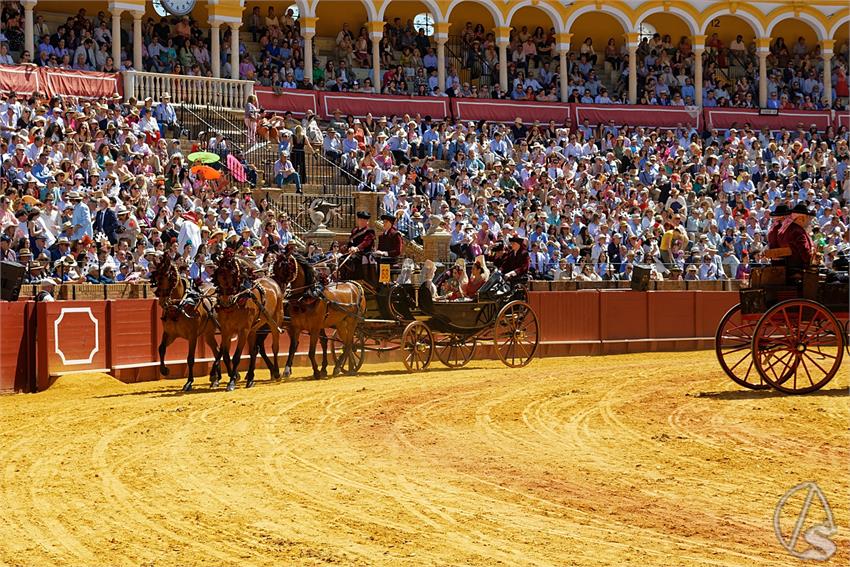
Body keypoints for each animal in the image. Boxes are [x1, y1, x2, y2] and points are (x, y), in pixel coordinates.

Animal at [151, 256, 222, 392]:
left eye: (170, 277)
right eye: (156, 276)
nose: (162, 300)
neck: (180, 305)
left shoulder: (192, 335)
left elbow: (190, 358)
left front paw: (189, 382)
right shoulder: (170, 333)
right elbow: (161, 348)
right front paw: (164, 370)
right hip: (208, 334)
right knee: (217, 351)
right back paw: (216, 379)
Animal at [210, 248, 284, 390]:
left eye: (234, 273)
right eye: (219, 273)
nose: (226, 300)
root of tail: (273, 282)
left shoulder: (243, 330)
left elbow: (236, 356)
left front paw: (231, 382)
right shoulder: (226, 330)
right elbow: (226, 355)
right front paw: (232, 377)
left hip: (274, 322)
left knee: (275, 346)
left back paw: (276, 372)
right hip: (253, 329)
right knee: (253, 351)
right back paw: (250, 378)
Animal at [272, 250, 364, 380]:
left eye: (285, 266)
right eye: (274, 267)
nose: (276, 290)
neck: (308, 296)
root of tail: (354, 284)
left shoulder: (315, 328)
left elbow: (311, 351)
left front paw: (316, 371)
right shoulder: (296, 327)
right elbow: (292, 348)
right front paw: (286, 371)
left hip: (352, 321)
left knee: (349, 343)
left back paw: (339, 367)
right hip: (340, 323)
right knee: (347, 343)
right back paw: (347, 368)